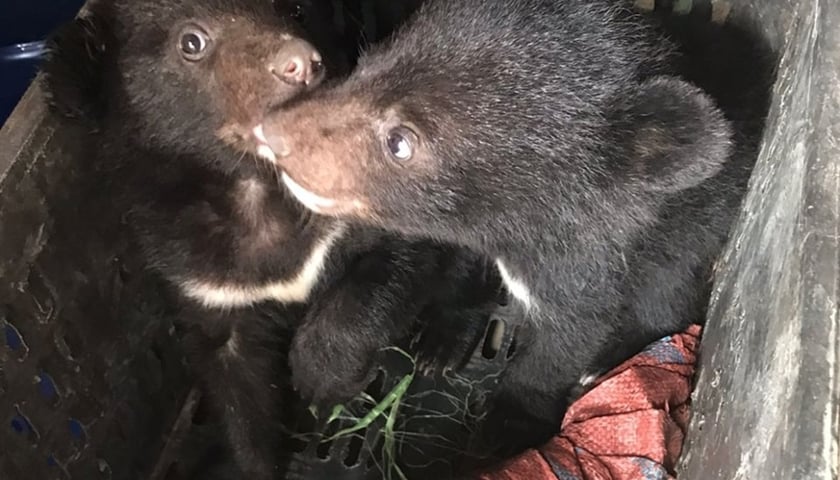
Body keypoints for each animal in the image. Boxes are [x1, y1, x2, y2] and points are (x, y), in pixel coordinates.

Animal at [40, 0, 501, 477]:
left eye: (295, 9)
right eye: (192, 41)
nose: (300, 63)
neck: (257, 186)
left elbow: (386, 272)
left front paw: (320, 380)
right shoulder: (199, 278)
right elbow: (236, 386)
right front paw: (258, 460)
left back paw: (440, 348)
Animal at [246, 0, 752, 458]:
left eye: (400, 141)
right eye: (365, 66)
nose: (271, 132)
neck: (507, 234)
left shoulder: (595, 265)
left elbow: (568, 337)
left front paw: (507, 430)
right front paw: (442, 341)